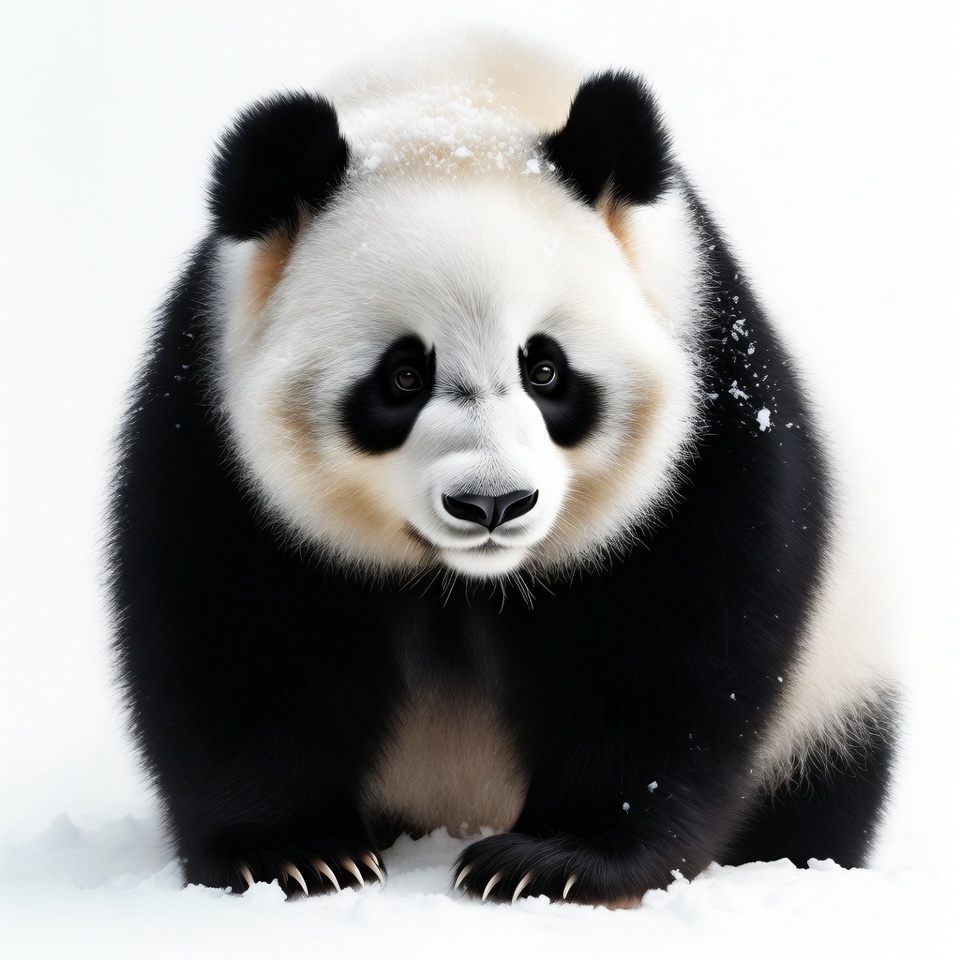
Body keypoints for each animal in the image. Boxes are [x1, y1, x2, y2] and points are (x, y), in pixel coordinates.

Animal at [108, 33, 898, 907]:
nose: (492, 504)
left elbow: (678, 644)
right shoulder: (208, 418)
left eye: (545, 369)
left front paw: (553, 858)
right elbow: (230, 630)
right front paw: (298, 853)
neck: (462, 95)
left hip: (836, 688)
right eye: (403, 376)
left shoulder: (712, 402)